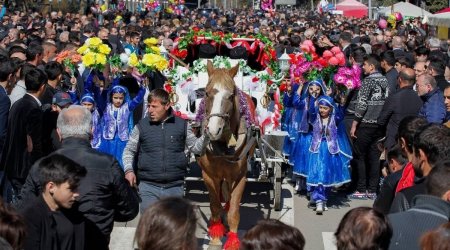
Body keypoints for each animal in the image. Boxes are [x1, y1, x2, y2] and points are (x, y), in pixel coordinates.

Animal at [198, 60, 256, 250]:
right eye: (207, 93)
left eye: (231, 96)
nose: (213, 130)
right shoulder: (209, 175)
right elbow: (215, 206)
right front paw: (215, 237)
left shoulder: (240, 177)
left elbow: (234, 211)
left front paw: (232, 240)